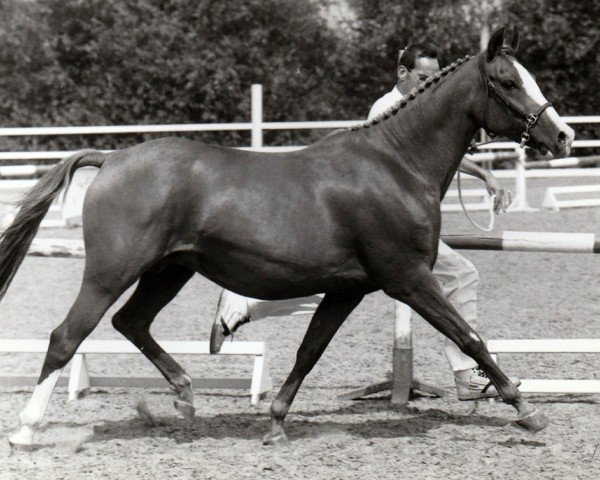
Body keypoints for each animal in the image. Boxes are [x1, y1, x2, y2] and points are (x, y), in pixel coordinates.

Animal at [2, 25, 576, 446]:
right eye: (507, 82)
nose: (563, 137)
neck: (395, 164)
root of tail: (112, 157)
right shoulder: (408, 279)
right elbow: (470, 336)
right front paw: (526, 409)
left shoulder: (347, 289)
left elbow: (309, 350)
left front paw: (276, 423)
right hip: (111, 271)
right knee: (67, 336)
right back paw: (28, 431)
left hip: (169, 271)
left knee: (132, 323)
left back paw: (186, 397)